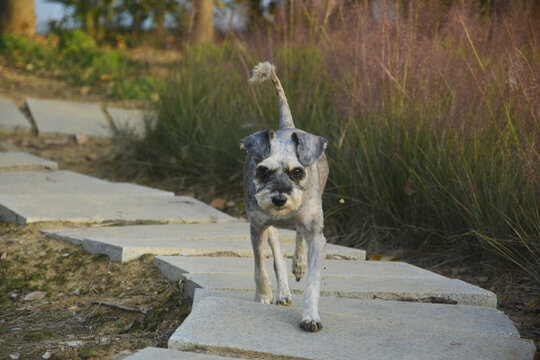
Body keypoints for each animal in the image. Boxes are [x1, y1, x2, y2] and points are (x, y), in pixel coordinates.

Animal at [242, 62, 330, 332]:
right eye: (264, 171)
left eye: (297, 172)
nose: (279, 199)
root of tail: (288, 126)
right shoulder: (258, 227)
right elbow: (260, 264)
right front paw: (263, 295)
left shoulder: (316, 235)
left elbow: (313, 282)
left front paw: (310, 317)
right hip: (270, 228)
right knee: (278, 258)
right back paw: (282, 292)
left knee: (300, 236)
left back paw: (299, 263)